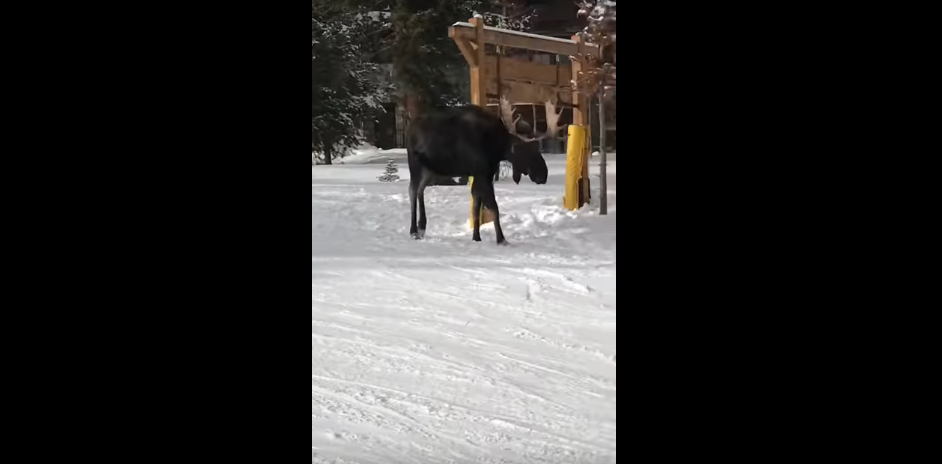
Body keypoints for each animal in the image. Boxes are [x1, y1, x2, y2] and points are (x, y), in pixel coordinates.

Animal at [406, 96, 560, 245]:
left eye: (539, 148)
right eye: (526, 151)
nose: (543, 174)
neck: (496, 146)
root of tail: (410, 127)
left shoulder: (482, 174)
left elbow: (476, 207)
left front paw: (476, 237)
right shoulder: (483, 174)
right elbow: (493, 207)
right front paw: (501, 239)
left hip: (430, 169)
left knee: (420, 190)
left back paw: (422, 227)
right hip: (415, 163)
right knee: (412, 190)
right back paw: (413, 230)